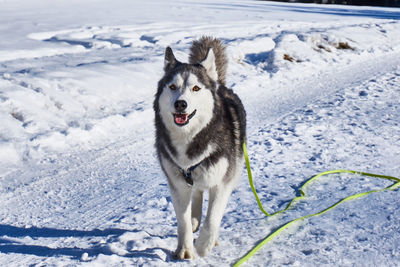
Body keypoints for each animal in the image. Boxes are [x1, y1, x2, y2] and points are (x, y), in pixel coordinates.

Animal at [154, 36, 245, 260]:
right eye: (172, 86)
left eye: (195, 88)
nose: (180, 104)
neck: (190, 137)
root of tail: (220, 85)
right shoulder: (177, 184)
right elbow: (183, 221)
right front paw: (185, 249)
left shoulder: (222, 183)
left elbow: (213, 218)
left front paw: (204, 245)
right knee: (196, 194)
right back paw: (195, 217)